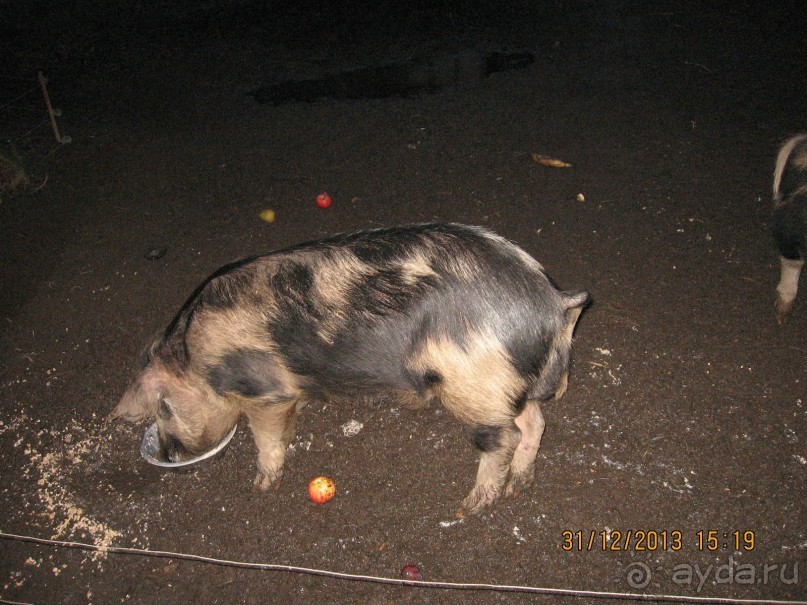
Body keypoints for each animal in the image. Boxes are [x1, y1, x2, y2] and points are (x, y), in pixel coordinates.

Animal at [109, 222, 588, 516]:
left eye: (163, 408)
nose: (169, 452)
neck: (197, 359)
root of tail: (553, 300)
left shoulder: (264, 388)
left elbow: (265, 437)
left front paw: (261, 486)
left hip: (472, 382)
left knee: (503, 437)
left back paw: (470, 506)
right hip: (503, 382)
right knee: (533, 422)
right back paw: (518, 486)